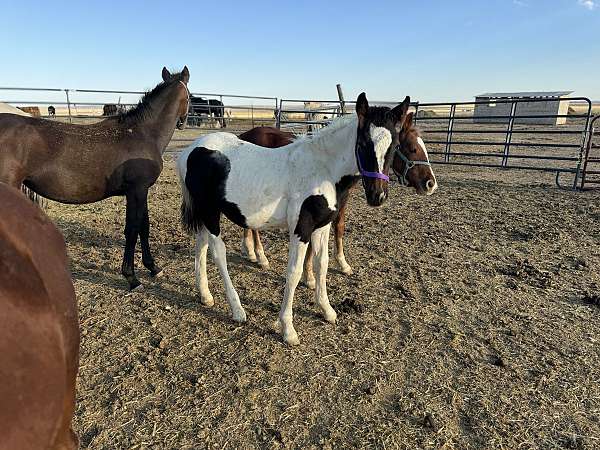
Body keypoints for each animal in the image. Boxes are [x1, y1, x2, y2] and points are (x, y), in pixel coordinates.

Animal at [0, 67, 190, 292]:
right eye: (190, 96)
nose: (183, 122)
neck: (143, 133)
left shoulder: (139, 191)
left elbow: (144, 227)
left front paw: (153, 268)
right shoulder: (136, 190)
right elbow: (133, 229)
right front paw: (132, 278)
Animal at [177, 92, 408, 344]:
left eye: (395, 145)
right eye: (363, 144)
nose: (377, 196)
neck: (322, 168)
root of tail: (190, 151)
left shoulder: (322, 226)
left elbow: (321, 264)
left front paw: (327, 310)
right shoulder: (302, 227)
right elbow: (294, 272)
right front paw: (288, 329)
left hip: (204, 213)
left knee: (201, 245)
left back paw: (205, 295)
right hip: (210, 213)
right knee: (218, 253)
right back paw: (237, 310)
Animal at [237, 107, 438, 286]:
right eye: (412, 148)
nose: (431, 184)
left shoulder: (341, 201)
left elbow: (339, 228)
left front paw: (342, 264)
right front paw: (309, 276)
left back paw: (250, 251)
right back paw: (261, 256)